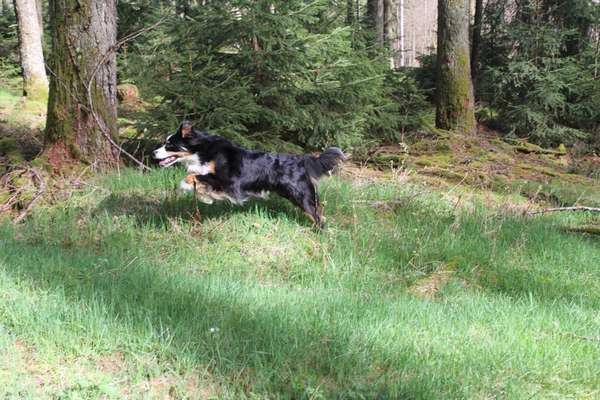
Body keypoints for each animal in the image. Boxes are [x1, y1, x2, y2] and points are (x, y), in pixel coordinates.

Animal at [152, 120, 344, 227]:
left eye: (169, 145)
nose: (153, 153)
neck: (203, 151)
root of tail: (302, 160)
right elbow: (199, 180)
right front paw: (205, 197)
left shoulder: (229, 182)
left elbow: (193, 177)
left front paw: (191, 189)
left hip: (301, 194)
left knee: (317, 214)